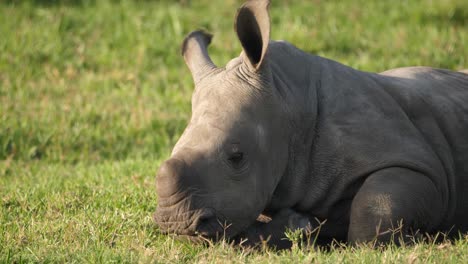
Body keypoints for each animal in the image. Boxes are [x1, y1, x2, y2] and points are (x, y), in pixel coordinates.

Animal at [155, 0, 468, 249]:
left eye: (237, 156)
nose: (176, 224)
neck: (288, 105)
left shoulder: (418, 164)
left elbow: (373, 208)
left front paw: (414, 238)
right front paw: (298, 224)